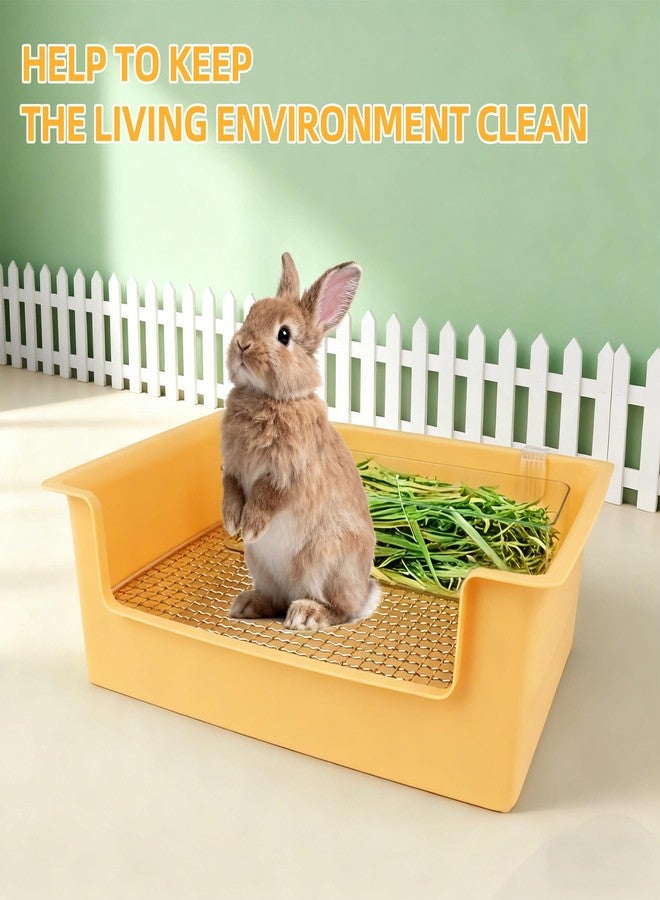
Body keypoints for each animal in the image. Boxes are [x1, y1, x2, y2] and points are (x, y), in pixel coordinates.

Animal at [221, 252, 379, 631]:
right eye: (249, 315)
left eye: (284, 335)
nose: (242, 344)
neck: (269, 398)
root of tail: (364, 594)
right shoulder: (231, 467)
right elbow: (231, 488)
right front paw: (231, 522)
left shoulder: (288, 474)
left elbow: (267, 497)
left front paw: (250, 527)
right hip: (262, 568)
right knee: (276, 600)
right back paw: (246, 604)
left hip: (324, 561)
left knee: (339, 611)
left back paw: (306, 615)